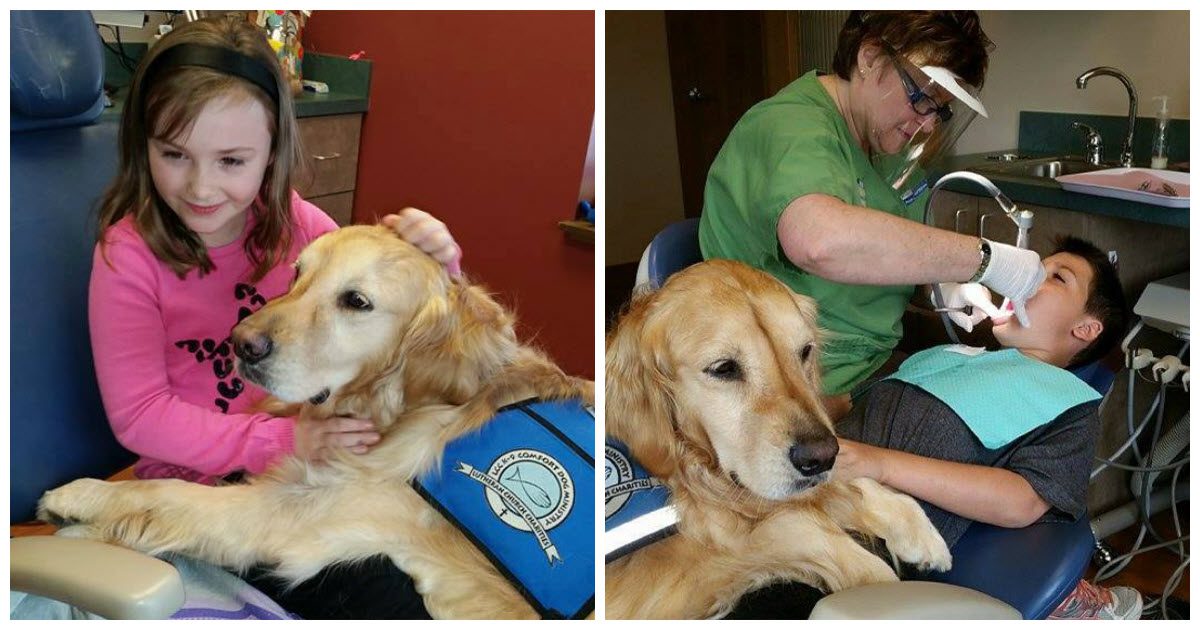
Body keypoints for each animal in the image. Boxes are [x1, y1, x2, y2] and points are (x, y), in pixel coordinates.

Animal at [39, 225, 592, 619]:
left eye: (357, 301)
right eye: (296, 273)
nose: (242, 344)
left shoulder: (301, 514)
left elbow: (173, 495)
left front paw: (80, 498)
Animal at [604, 258, 950, 614]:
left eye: (805, 351)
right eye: (723, 368)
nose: (821, 457)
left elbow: (851, 481)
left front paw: (916, 530)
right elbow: (800, 526)